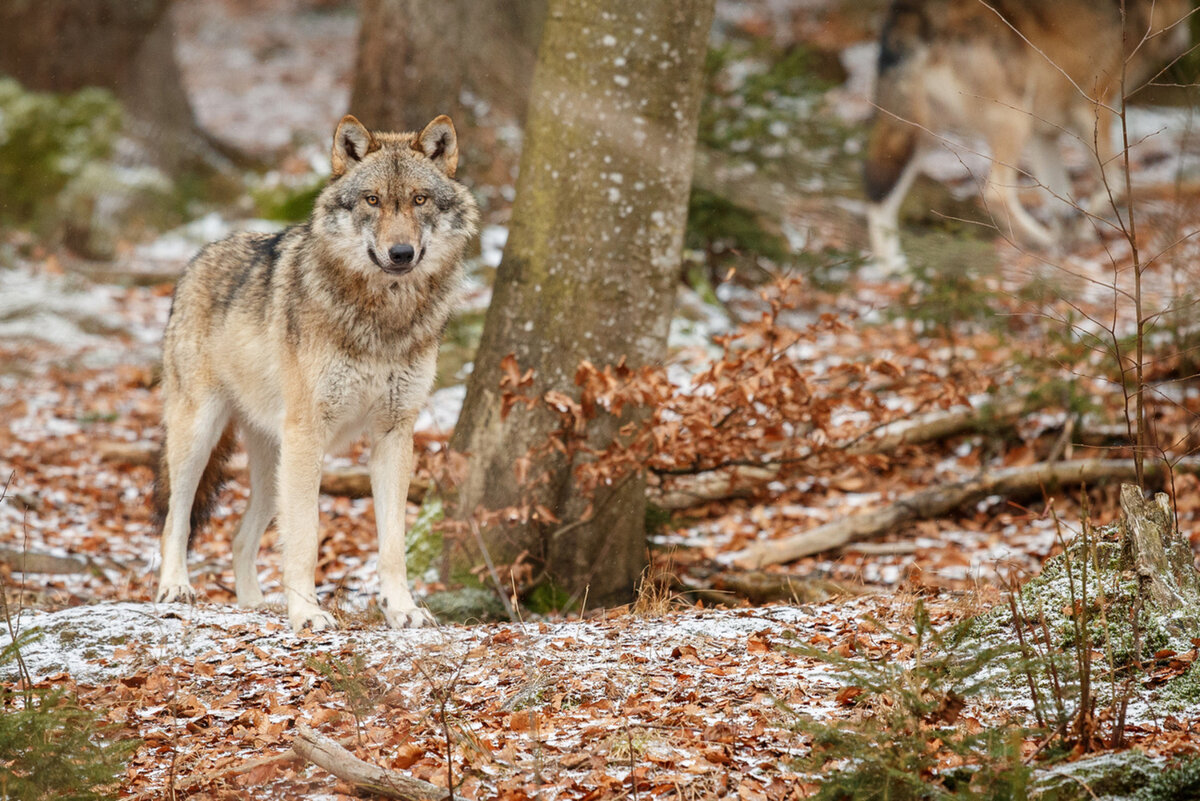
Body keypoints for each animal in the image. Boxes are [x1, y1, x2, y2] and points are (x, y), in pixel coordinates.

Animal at [154, 112, 477, 633]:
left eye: (419, 200)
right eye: (372, 200)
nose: (401, 253)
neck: (382, 319)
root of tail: (199, 257)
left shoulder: (395, 434)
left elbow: (393, 544)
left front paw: (402, 608)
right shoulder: (310, 434)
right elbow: (306, 536)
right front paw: (307, 613)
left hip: (274, 468)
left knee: (239, 538)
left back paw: (255, 605)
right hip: (202, 438)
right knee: (175, 520)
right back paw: (175, 588)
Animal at [864, 0, 1190, 270]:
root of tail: (915, 14)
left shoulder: (1043, 134)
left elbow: (1061, 199)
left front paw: (1071, 238)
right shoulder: (1096, 108)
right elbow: (1114, 183)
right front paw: (1081, 232)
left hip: (918, 134)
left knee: (878, 197)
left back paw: (894, 270)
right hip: (1012, 119)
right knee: (995, 193)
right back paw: (1041, 240)